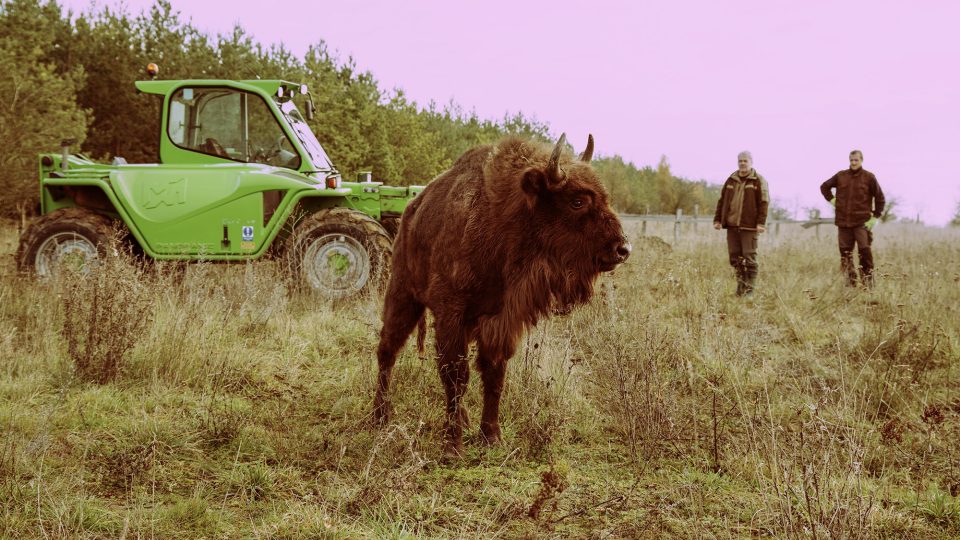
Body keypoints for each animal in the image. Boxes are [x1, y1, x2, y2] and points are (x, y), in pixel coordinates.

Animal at [374, 133, 632, 454]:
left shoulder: (500, 319)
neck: (506, 221)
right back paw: (380, 416)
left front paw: (491, 436)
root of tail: (409, 213)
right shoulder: (451, 314)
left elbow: (494, 374)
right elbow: (456, 376)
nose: (622, 249)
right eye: (577, 201)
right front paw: (452, 445)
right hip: (402, 295)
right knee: (387, 351)